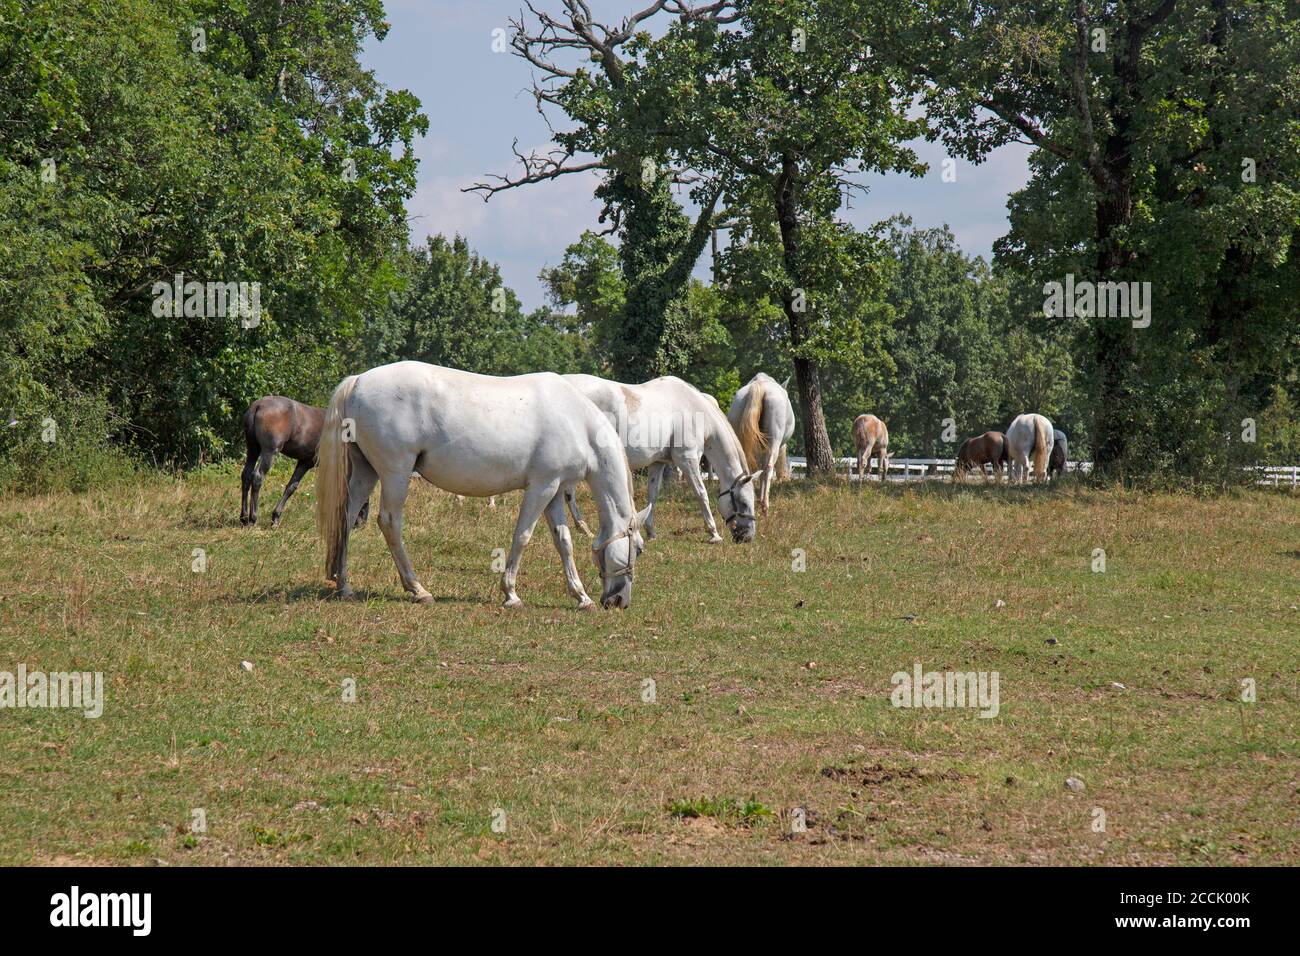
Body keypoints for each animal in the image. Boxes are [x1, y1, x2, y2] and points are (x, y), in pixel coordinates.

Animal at [240, 396, 369, 528]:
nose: (362, 523)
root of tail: (259, 405)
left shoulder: (303, 462)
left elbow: (291, 487)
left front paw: (275, 517)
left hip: (253, 449)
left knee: (246, 475)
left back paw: (244, 518)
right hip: (269, 452)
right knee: (257, 477)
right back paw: (252, 519)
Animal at [315, 362, 643, 610]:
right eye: (638, 550)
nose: (619, 602)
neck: (575, 419)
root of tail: (358, 381)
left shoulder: (554, 491)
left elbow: (563, 541)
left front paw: (581, 596)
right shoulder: (542, 487)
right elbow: (522, 536)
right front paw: (510, 594)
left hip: (365, 472)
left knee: (345, 519)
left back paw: (344, 586)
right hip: (395, 473)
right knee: (390, 522)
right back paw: (417, 589)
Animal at [563, 374, 758, 544]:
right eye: (743, 503)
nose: (748, 537)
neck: (694, 409)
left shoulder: (658, 463)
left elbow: (653, 495)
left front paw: (650, 532)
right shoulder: (687, 460)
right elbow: (701, 493)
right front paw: (713, 533)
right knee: (569, 494)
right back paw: (583, 528)